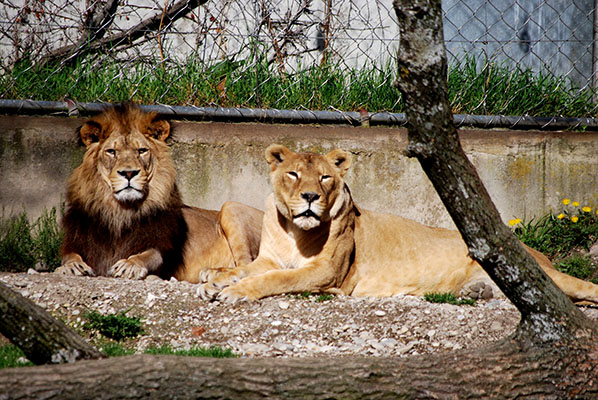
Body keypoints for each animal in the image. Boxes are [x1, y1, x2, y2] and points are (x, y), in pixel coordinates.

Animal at [56, 104, 262, 282]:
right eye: (111, 151)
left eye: (141, 150)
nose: (129, 173)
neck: (120, 211)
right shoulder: (78, 241)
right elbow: (69, 256)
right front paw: (71, 267)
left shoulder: (160, 246)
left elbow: (148, 255)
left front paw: (130, 265)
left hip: (231, 207)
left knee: (249, 265)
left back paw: (214, 272)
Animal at [199, 144, 598, 304]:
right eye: (294, 174)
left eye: (325, 178)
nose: (310, 197)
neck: (296, 231)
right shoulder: (269, 257)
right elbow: (247, 267)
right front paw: (215, 278)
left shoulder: (327, 272)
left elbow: (275, 279)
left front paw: (234, 291)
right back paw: (475, 293)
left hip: (550, 275)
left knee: (580, 288)